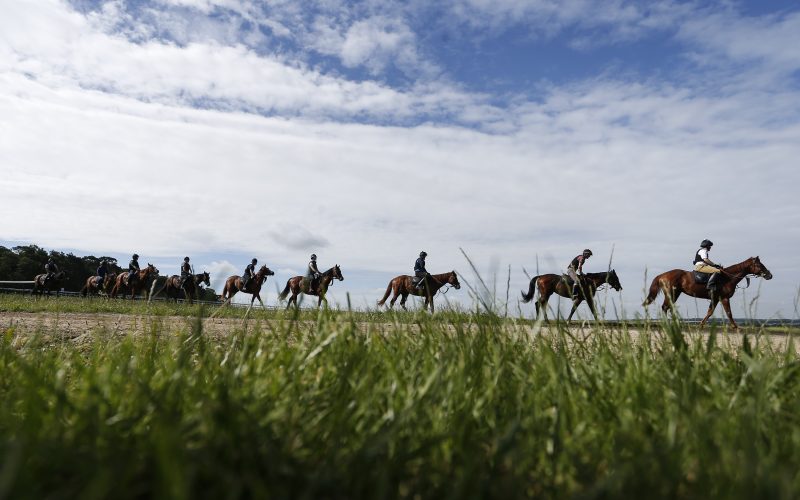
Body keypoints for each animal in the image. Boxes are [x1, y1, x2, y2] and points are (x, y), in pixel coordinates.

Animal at [640, 256, 772, 330]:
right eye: (759, 264)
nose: (769, 275)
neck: (727, 277)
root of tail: (662, 275)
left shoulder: (715, 299)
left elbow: (709, 312)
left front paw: (701, 325)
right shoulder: (724, 298)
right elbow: (729, 313)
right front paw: (736, 327)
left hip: (675, 294)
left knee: (669, 307)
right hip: (671, 294)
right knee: (665, 307)